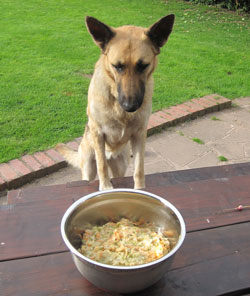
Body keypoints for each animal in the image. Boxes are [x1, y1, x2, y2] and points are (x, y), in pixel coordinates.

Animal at [56, 14, 174, 190]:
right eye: (117, 66)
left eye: (143, 66)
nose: (130, 106)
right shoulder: (98, 133)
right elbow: (102, 165)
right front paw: (105, 187)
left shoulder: (140, 134)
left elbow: (139, 168)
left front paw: (140, 189)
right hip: (88, 166)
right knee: (94, 169)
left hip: (120, 167)